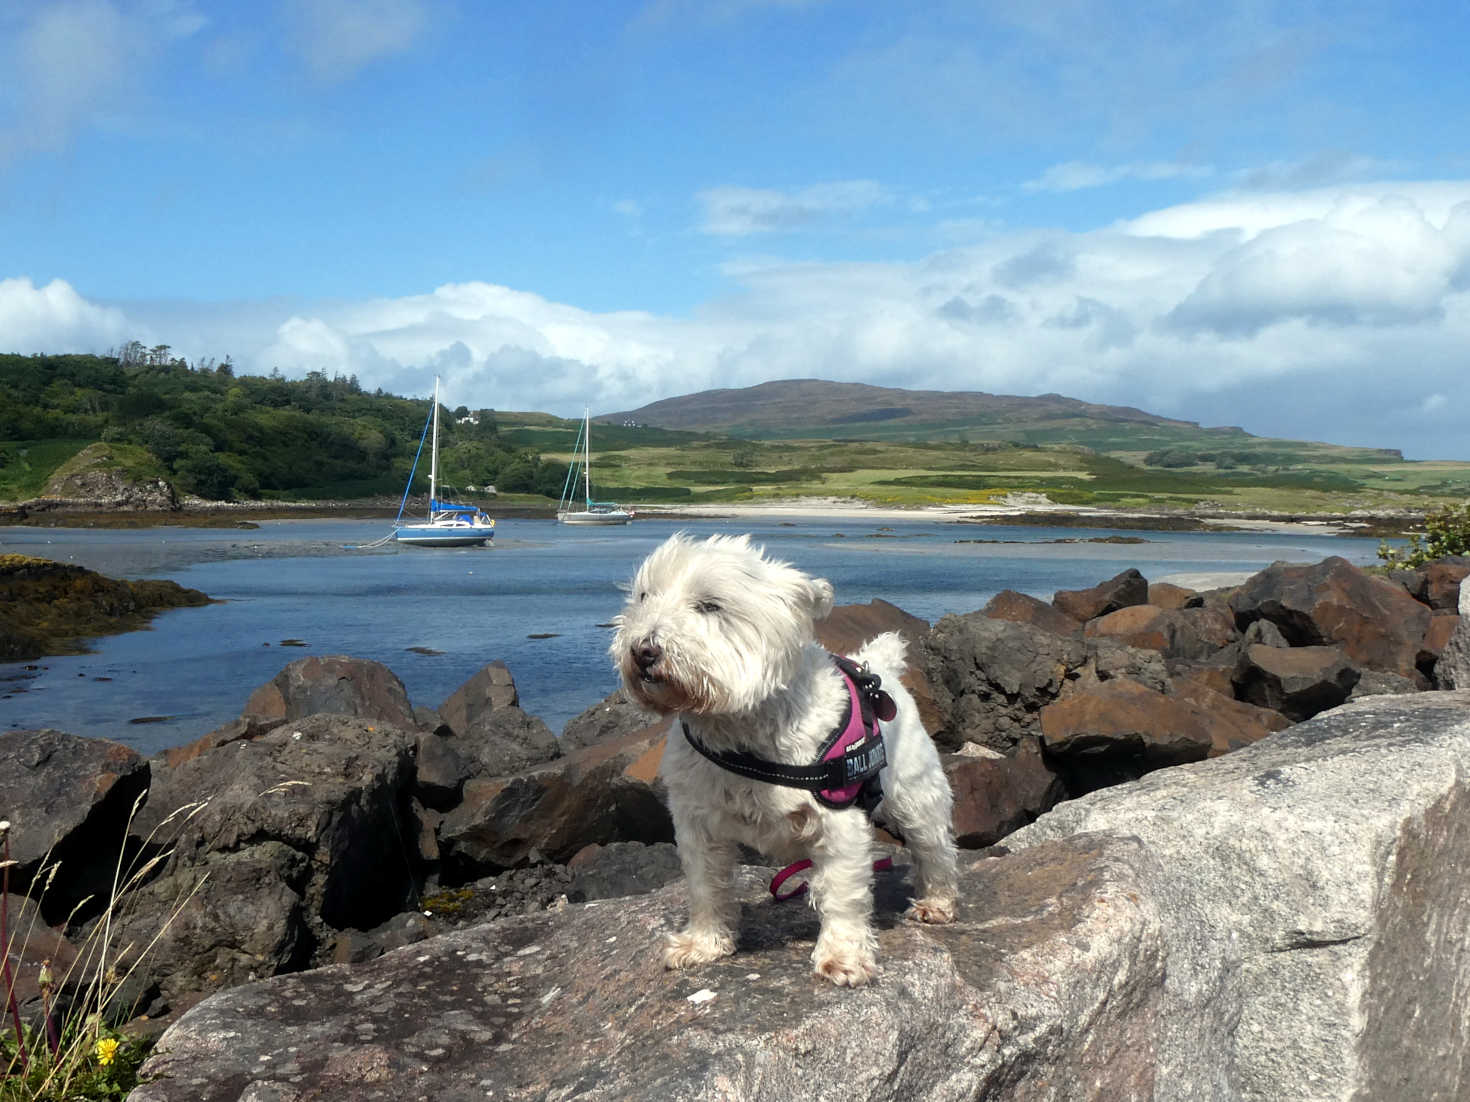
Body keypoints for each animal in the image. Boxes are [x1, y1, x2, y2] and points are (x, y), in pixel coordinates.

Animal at [605, 531, 958, 987]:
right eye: (644, 596)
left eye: (710, 605)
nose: (642, 650)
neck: (740, 729)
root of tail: (880, 670)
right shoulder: (697, 822)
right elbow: (705, 884)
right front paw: (702, 944)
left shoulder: (840, 819)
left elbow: (842, 892)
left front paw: (843, 956)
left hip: (915, 794)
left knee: (934, 848)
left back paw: (936, 903)